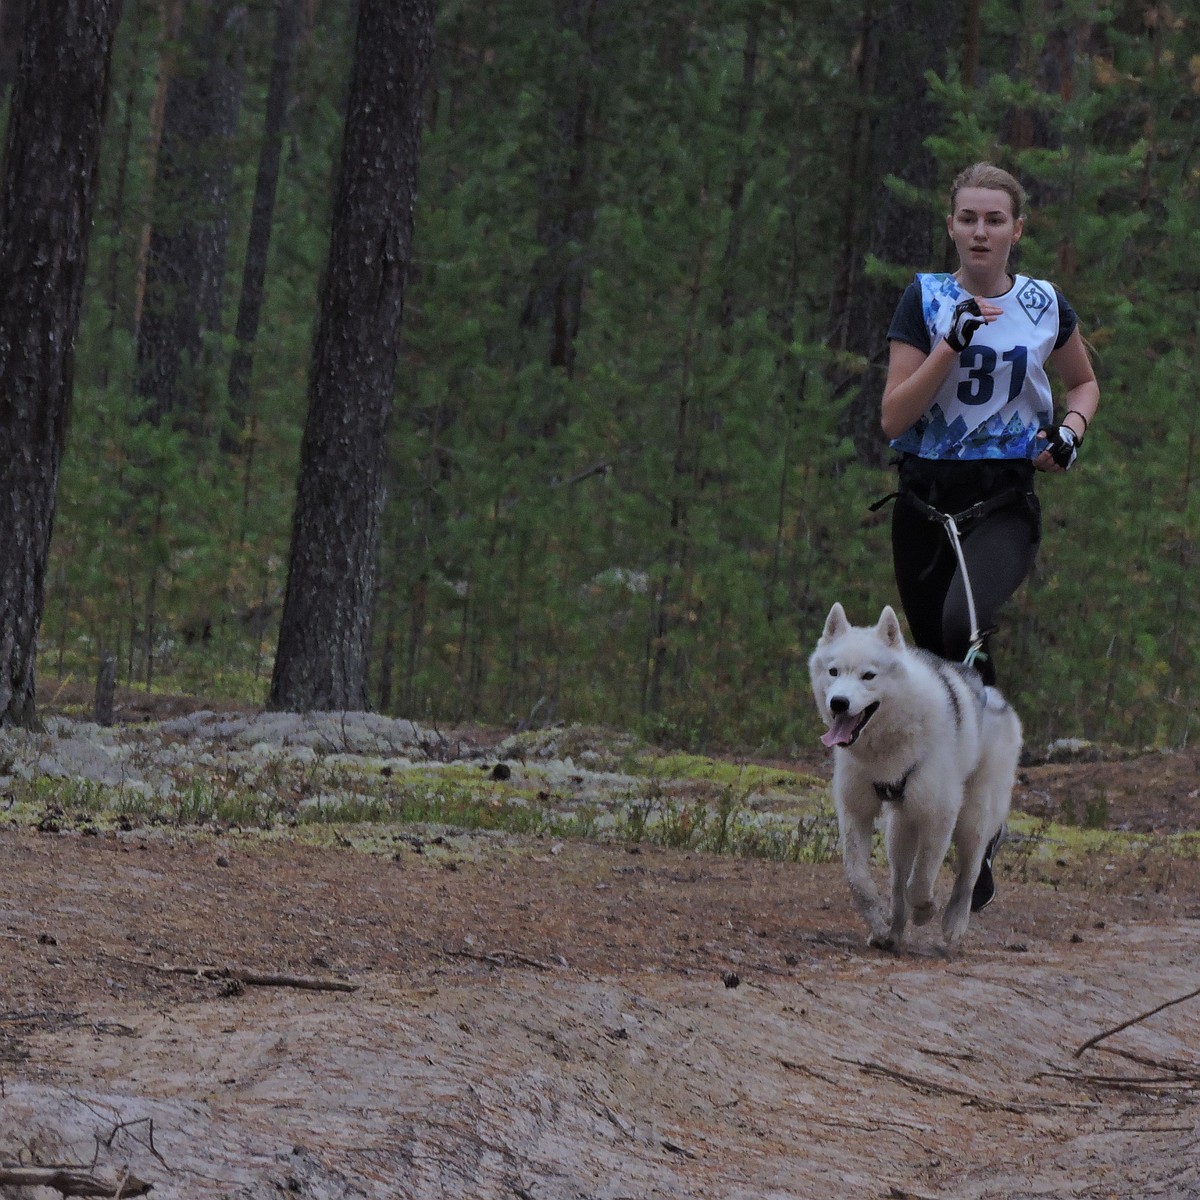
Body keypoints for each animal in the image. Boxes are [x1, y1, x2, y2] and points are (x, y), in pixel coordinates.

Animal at [811, 604, 1017, 950]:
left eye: (869, 675)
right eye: (834, 672)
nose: (838, 703)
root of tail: (994, 697)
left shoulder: (939, 814)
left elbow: (921, 879)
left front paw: (925, 910)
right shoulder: (855, 811)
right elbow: (858, 879)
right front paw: (878, 923)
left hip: (973, 819)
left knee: (969, 871)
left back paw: (954, 921)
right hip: (899, 829)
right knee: (897, 884)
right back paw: (893, 930)